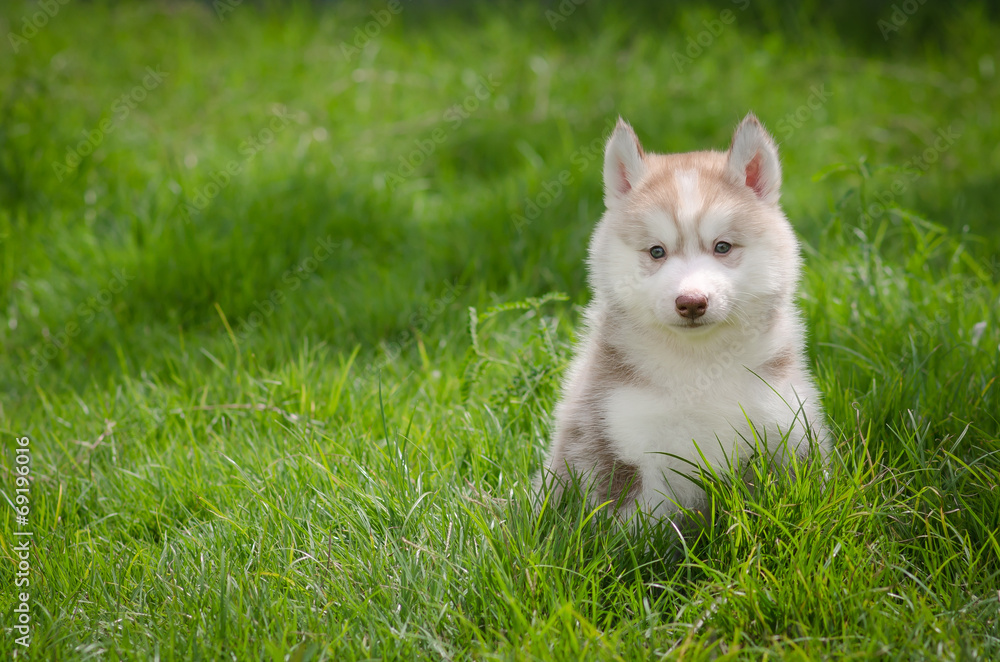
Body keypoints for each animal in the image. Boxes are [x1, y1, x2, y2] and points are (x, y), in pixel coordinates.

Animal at [544, 114, 832, 520]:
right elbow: (637, 524)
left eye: (722, 246)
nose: (692, 302)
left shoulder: (783, 427)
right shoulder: (627, 443)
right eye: (656, 251)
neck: (700, 365)